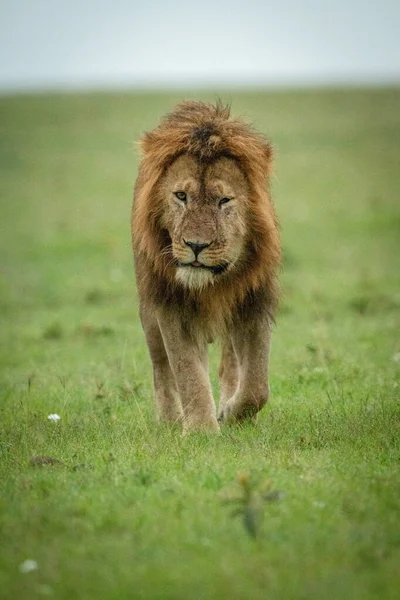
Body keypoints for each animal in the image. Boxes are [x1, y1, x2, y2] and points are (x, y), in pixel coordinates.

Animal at [132, 102, 282, 432]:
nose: (196, 245)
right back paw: (171, 420)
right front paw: (201, 429)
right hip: (148, 310)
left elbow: (257, 386)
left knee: (231, 362)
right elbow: (188, 372)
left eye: (224, 200)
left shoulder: (254, 301)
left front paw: (233, 415)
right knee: (162, 367)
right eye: (181, 196)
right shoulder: (171, 304)